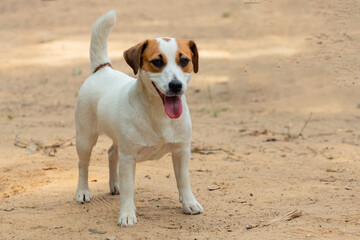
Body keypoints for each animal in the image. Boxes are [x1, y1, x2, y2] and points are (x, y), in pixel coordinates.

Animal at [74, 9, 204, 227]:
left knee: (111, 152)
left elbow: (183, 181)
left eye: (184, 61)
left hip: (117, 139)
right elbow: (129, 190)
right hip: (85, 138)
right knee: (83, 165)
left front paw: (189, 203)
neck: (159, 114)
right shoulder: (128, 158)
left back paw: (114, 185)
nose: (176, 85)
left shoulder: (181, 151)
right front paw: (127, 214)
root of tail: (103, 68)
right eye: (157, 62)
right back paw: (83, 192)